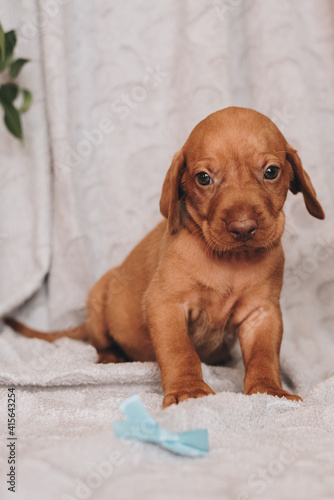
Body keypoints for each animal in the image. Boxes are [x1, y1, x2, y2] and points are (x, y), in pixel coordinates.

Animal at [4, 107, 324, 408]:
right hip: (97, 299)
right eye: (204, 178)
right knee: (100, 341)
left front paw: (269, 391)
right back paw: (111, 358)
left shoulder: (262, 313)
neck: (230, 262)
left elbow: (264, 356)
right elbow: (179, 351)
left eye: (271, 172)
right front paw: (189, 390)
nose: (243, 227)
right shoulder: (165, 304)